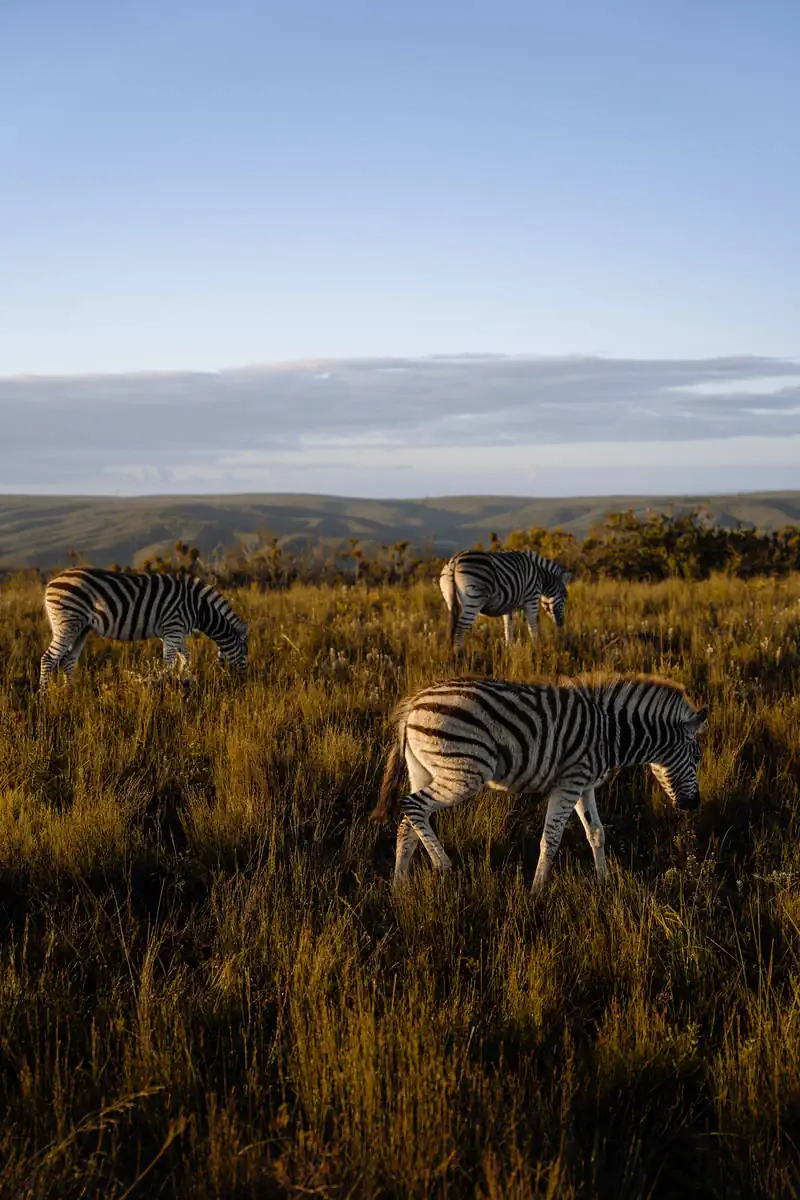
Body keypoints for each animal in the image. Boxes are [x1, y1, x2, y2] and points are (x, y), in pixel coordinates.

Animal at [37, 566, 248, 691]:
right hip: (68, 624)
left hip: (81, 628)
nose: (243, 682)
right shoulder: (173, 628)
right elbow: (168, 662)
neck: (198, 609)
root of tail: (51, 582)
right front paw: (159, 686)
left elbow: (185, 656)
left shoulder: (174, 632)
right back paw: (43, 699)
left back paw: (69, 694)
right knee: (48, 658)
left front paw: (188, 681)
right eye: (246, 652)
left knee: (68, 661)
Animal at [369, 676, 705, 892]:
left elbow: (596, 833)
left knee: (408, 822)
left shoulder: (584, 784)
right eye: (697, 757)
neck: (610, 734)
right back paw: (443, 865)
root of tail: (414, 704)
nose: (695, 805)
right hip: (464, 772)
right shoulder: (569, 783)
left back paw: (399, 886)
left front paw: (605, 882)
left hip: (423, 769)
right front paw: (538, 892)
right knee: (413, 805)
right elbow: (551, 838)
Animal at [441, 549, 573, 648]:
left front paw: (508, 651)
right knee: (460, 630)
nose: (562, 623)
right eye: (565, 597)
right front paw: (536, 652)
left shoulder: (508, 606)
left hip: (450, 599)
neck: (540, 575)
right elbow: (533, 627)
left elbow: (508, 630)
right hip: (474, 600)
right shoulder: (532, 600)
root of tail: (455, 560)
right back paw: (460, 656)